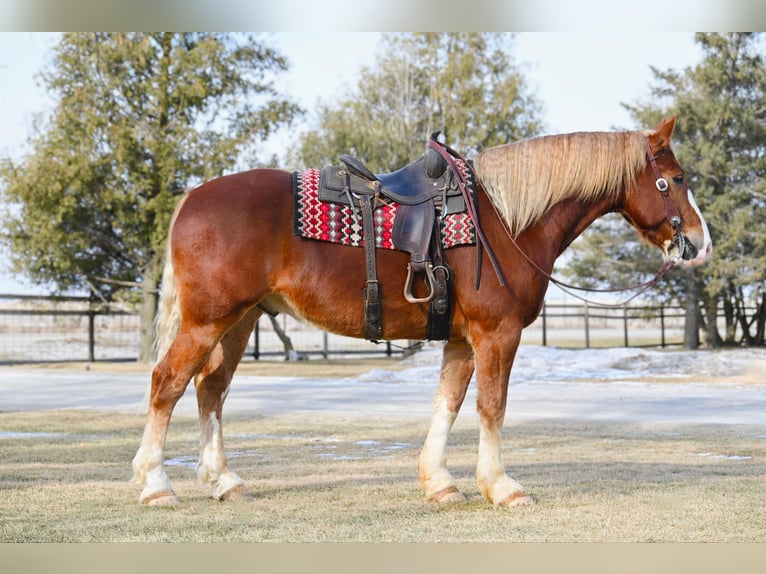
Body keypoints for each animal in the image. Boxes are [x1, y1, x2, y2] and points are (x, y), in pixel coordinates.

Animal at [130, 117, 712, 508]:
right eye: (676, 179)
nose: (699, 243)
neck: (505, 220)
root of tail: (193, 198)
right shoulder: (496, 335)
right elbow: (491, 408)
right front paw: (501, 487)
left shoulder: (460, 340)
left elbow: (447, 405)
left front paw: (440, 482)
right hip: (208, 320)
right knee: (167, 384)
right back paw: (157, 484)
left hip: (240, 320)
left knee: (211, 390)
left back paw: (224, 481)